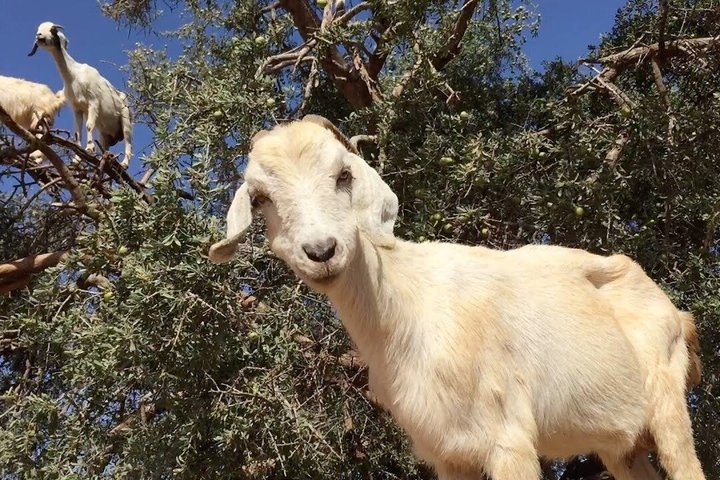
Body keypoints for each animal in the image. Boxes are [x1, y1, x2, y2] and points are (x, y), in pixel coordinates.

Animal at [29, 22, 133, 168]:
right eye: (38, 29)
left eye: (52, 30)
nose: (39, 36)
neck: (73, 75)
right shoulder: (77, 108)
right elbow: (78, 132)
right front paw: (77, 158)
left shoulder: (93, 101)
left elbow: (89, 125)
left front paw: (89, 149)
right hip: (104, 133)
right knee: (105, 145)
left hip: (126, 119)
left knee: (128, 142)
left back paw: (124, 164)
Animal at [209, 116, 706, 480]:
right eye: (260, 198)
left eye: (343, 175)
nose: (321, 251)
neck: (407, 308)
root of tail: (679, 315)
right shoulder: (447, 452)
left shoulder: (508, 439)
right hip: (622, 446)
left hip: (669, 411)